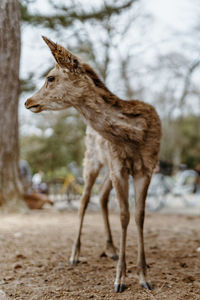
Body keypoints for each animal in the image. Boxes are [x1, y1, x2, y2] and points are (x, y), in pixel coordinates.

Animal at [25, 37, 162, 292]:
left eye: (50, 77)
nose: (28, 101)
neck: (134, 137)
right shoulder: (119, 168)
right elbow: (124, 215)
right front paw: (120, 279)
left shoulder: (146, 168)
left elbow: (139, 215)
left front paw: (144, 277)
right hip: (91, 160)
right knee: (83, 200)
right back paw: (74, 255)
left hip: (107, 167)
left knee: (102, 197)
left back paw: (111, 249)